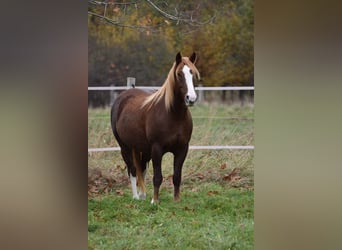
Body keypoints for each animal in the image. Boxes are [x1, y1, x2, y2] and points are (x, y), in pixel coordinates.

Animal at [111, 52, 199, 203]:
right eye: (179, 74)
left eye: (192, 73)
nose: (191, 99)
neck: (173, 115)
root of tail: (122, 97)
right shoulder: (157, 149)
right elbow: (157, 177)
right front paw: (155, 201)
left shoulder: (182, 149)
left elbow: (177, 176)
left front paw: (176, 200)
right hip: (125, 147)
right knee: (132, 170)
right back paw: (136, 197)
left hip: (142, 148)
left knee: (141, 168)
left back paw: (142, 195)